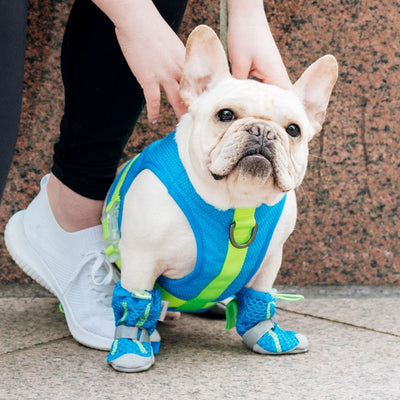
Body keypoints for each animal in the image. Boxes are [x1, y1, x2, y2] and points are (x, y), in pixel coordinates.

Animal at [104, 26, 338, 374]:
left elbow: (258, 297)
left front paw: (266, 334)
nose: (263, 131)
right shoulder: (140, 260)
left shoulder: (269, 262)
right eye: (225, 115)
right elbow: (136, 302)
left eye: (294, 130)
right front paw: (132, 344)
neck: (237, 202)